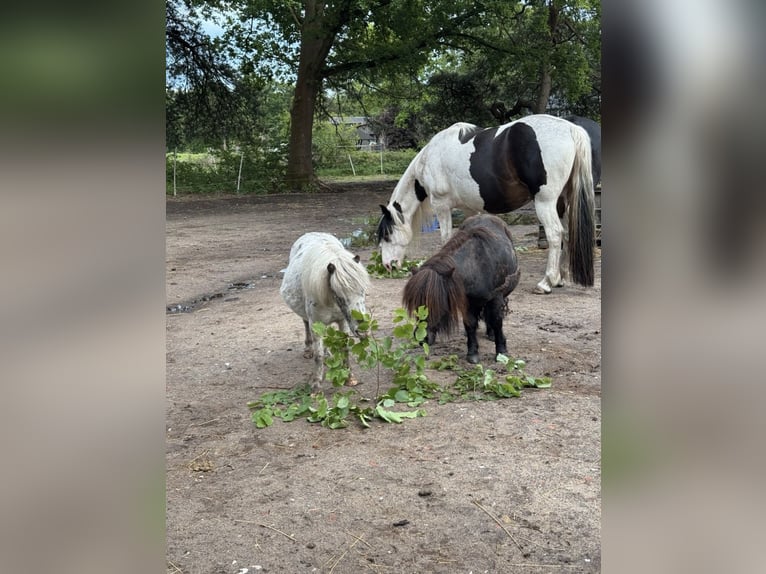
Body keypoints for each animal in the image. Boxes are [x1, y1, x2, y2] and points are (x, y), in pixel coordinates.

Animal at [280, 232, 370, 390]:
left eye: (363, 291)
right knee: (306, 325)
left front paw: (350, 378)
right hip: (308, 318)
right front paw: (316, 384)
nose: (363, 330)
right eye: (340, 296)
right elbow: (318, 355)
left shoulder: (343, 321)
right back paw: (308, 350)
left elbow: (345, 348)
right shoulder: (315, 323)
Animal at [377, 113, 595, 294]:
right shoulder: (470, 209)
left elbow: (446, 239)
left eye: (387, 235)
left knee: (555, 234)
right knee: (567, 233)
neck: (430, 157)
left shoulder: (442, 206)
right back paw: (561, 279)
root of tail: (570, 128)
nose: (388, 265)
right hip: (562, 202)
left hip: (546, 202)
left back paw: (546, 282)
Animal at [402, 214, 521, 364]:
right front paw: (472, 353)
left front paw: (501, 351)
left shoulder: (496, 297)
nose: (422, 339)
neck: (477, 266)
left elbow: (496, 320)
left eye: (436, 304)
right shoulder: (467, 302)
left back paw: (491, 334)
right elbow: (470, 323)